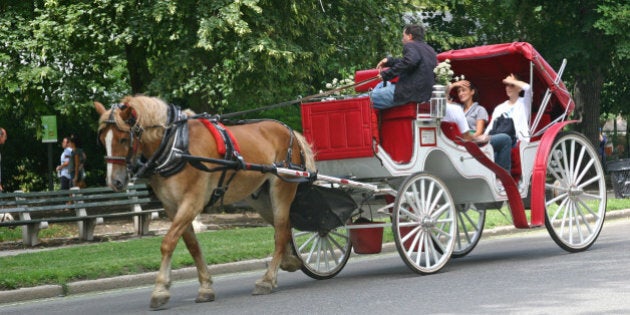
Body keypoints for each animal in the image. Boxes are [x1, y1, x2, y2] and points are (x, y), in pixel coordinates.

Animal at [93, 95, 316, 308]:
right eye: (102, 139)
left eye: (123, 139)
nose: (114, 182)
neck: (176, 145)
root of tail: (290, 132)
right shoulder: (172, 207)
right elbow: (192, 246)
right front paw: (205, 287)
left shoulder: (192, 202)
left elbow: (168, 242)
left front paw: (160, 290)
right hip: (260, 196)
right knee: (283, 228)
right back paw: (289, 260)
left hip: (282, 187)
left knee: (281, 230)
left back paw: (267, 280)